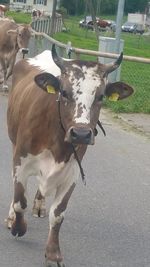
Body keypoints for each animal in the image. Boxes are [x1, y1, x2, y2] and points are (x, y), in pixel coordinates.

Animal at [6, 45, 134, 266]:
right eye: (64, 92)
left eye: (101, 96)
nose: (81, 134)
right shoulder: (20, 161)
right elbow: (20, 200)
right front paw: (18, 226)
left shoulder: (72, 172)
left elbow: (58, 214)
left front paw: (53, 253)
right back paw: (11, 216)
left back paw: (39, 204)